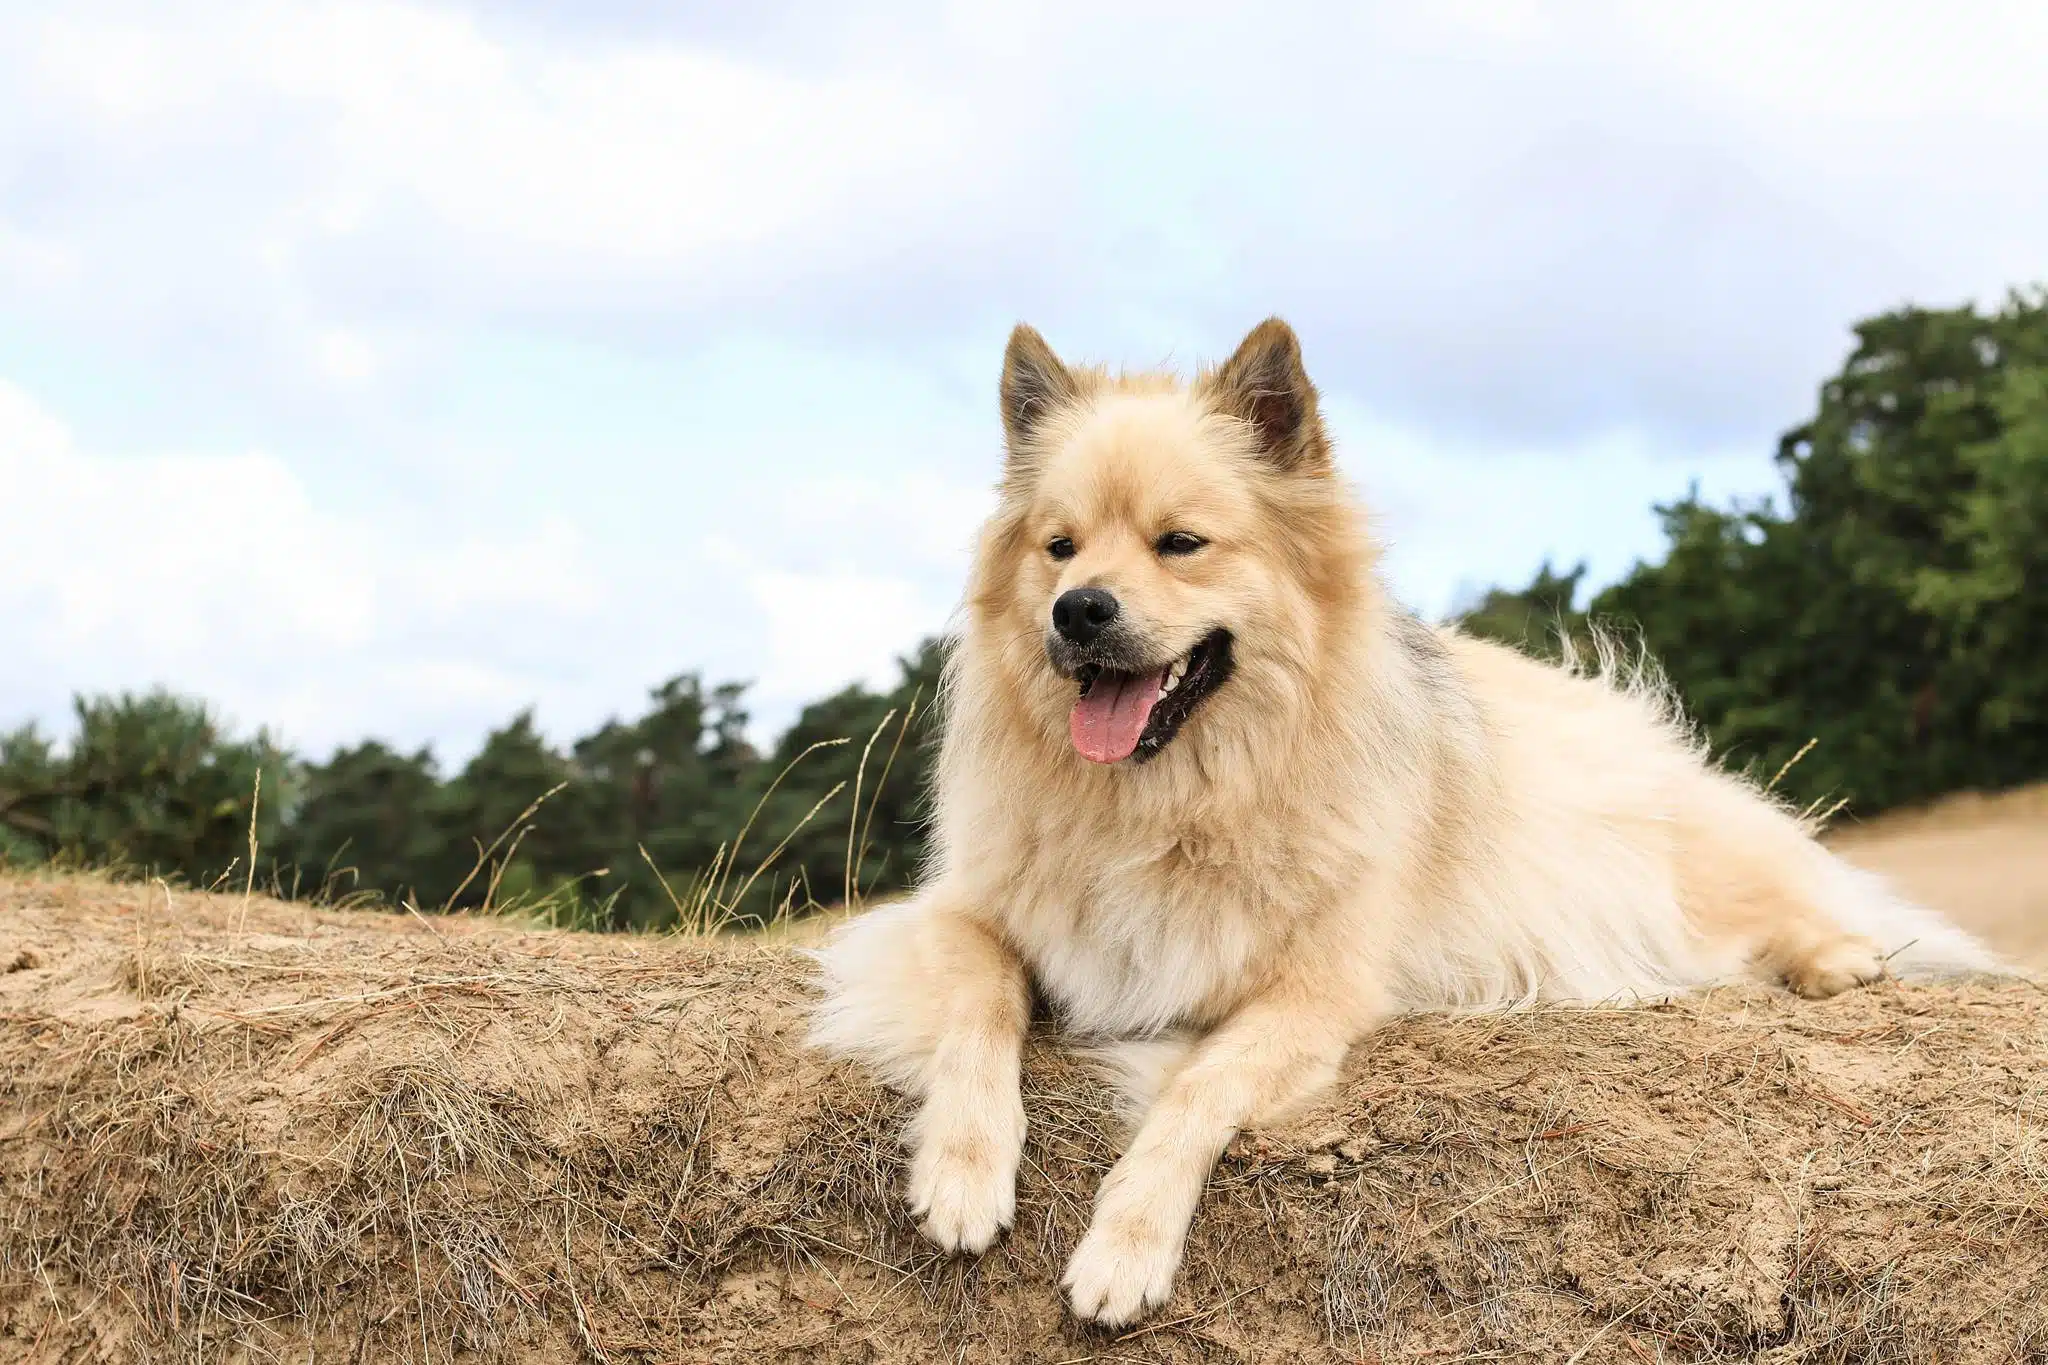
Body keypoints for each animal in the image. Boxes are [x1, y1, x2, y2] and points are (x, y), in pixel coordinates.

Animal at [802, 317, 1998, 1326]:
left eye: (1179, 543)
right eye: (1058, 548)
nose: (1077, 612)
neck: (1166, 798)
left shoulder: (1309, 996)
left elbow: (1191, 1096)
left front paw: (1123, 1249)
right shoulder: (961, 916)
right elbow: (978, 1011)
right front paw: (961, 1172)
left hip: (1672, 873)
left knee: (1791, 903)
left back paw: (1835, 959)